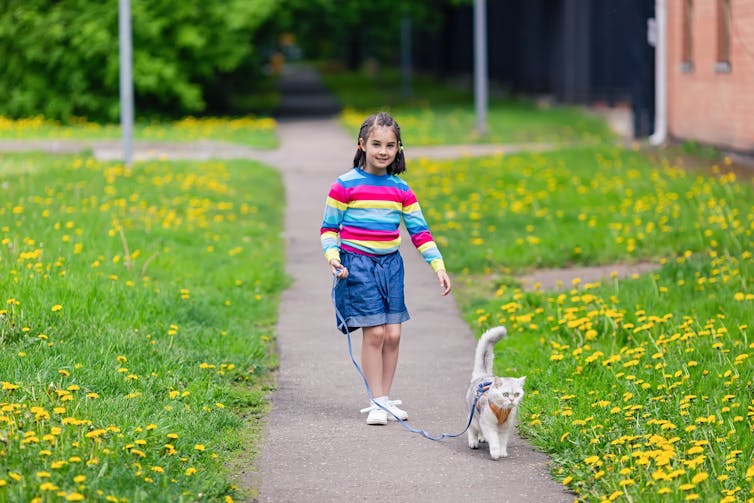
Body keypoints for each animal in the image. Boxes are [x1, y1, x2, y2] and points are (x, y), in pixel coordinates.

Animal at [462, 326, 524, 460]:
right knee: (472, 429)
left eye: (517, 394)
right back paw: (473, 442)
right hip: (474, 418)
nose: (512, 400)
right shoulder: (488, 425)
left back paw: (482, 438)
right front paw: (495, 453)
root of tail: (483, 375)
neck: (502, 410)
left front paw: (502, 452)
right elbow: (495, 440)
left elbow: (503, 441)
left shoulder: (505, 428)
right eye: (505, 394)